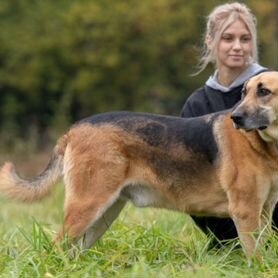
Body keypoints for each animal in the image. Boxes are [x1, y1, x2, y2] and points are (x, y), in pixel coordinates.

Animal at [0, 70, 278, 258]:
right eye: (244, 93)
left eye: (264, 91)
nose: (235, 117)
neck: (264, 146)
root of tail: (75, 128)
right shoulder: (245, 212)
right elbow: (256, 255)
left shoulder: (263, 211)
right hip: (87, 205)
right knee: (57, 247)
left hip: (103, 215)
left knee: (74, 251)